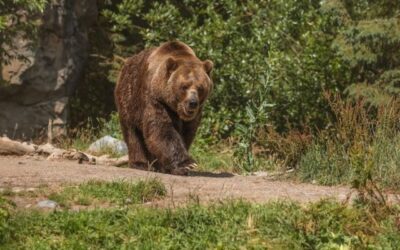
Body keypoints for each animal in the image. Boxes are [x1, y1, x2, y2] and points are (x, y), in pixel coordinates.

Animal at [114, 41, 214, 175]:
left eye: (200, 88)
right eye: (184, 86)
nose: (192, 102)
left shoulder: (194, 115)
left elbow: (187, 133)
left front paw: (172, 167)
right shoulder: (155, 100)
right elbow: (162, 129)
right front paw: (187, 164)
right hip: (129, 99)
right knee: (132, 133)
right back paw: (140, 163)